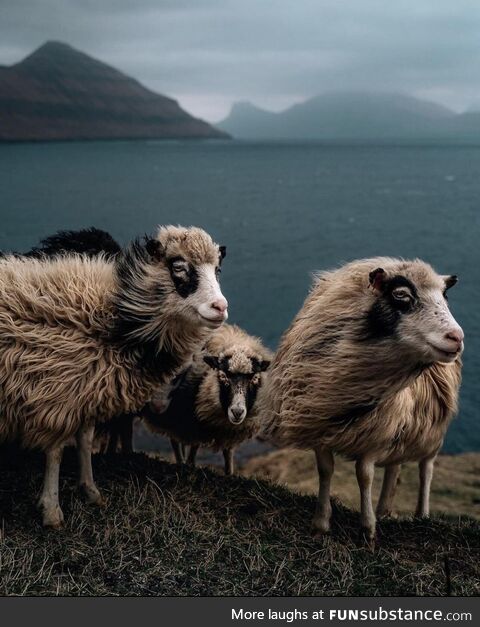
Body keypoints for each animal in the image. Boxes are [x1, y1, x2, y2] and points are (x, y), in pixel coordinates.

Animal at [0, 223, 228, 528]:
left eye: (217, 269)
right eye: (179, 267)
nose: (220, 307)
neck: (116, 321)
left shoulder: (88, 389)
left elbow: (85, 440)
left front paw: (90, 491)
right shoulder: (57, 394)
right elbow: (56, 451)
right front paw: (51, 510)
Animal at [142, 324, 270, 476]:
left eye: (254, 378)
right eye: (223, 376)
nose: (237, 412)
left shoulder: (228, 431)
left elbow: (228, 455)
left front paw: (229, 474)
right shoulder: (195, 424)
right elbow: (193, 450)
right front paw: (190, 466)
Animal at [260, 258, 464, 544]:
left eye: (444, 297)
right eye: (401, 295)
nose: (457, 337)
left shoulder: (374, 433)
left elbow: (364, 476)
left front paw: (367, 530)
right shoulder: (319, 424)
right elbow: (325, 470)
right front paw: (320, 524)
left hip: (432, 429)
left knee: (427, 468)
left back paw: (421, 515)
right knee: (394, 467)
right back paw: (384, 510)